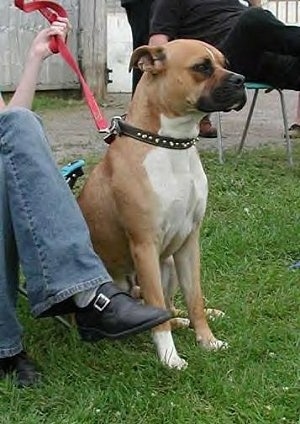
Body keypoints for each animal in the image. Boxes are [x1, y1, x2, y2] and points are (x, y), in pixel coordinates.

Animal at [78, 40, 246, 372]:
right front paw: (170, 357)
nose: (241, 80)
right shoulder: (144, 245)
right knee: (154, 307)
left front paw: (207, 340)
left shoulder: (189, 243)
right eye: (202, 67)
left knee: (171, 307)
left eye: (225, 63)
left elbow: (195, 299)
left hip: (168, 264)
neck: (169, 145)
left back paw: (195, 317)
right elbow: (158, 311)